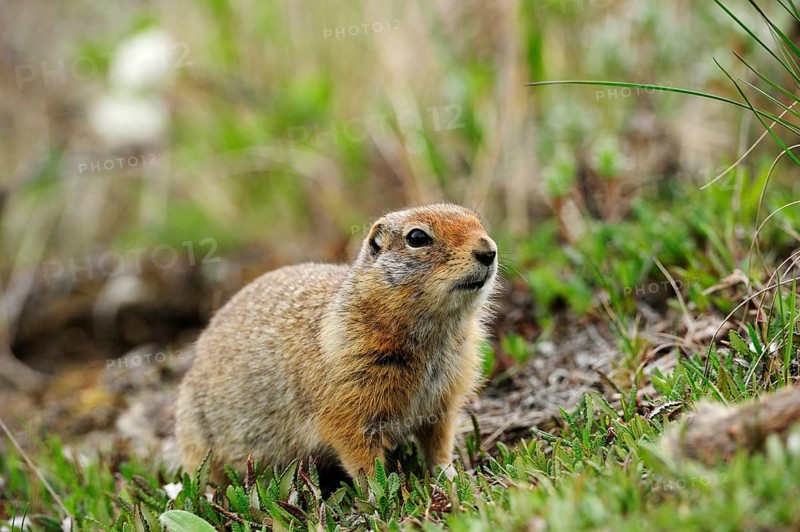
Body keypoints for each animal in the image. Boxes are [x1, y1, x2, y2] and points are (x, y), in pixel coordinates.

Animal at [175, 204, 498, 482]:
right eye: (417, 237)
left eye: (477, 220)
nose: (489, 251)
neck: (435, 334)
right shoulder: (348, 402)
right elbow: (360, 454)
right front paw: (380, 492)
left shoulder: (445, 398)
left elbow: (438, 442)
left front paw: (451, 475)